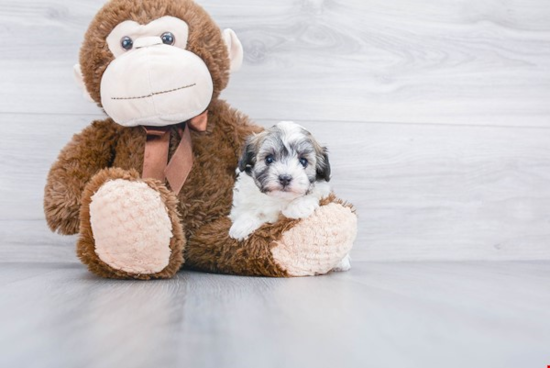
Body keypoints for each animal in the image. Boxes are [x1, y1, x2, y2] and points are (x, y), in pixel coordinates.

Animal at [230, 121, 352, 270]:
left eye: (303, 161)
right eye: (269, 159)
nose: (285, 178)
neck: (279, 199)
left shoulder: (322, 190)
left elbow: (314, 193)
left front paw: (298, 208)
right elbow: (247, 210)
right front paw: (241, 226)